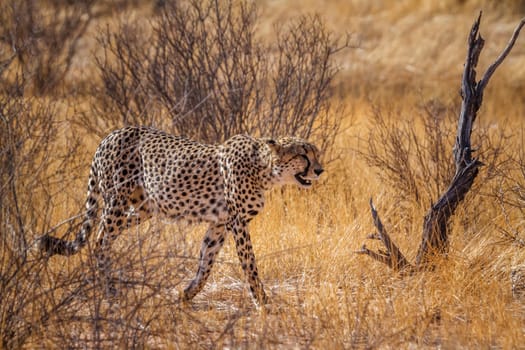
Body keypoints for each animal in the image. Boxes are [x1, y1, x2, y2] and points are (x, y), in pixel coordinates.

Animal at [40, 126, 324, 304]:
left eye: (316, 154)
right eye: (303, 155)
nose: (320, 170)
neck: (264, 169)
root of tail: (110, 134)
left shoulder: (219, 224)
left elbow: (206, 263)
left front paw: (186, 294)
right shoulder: (238, 223)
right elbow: (250, 265)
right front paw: (263, 303)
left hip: (143, 208)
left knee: (105, 239)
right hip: (117, 203)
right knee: (99, 240)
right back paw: (109, 291)